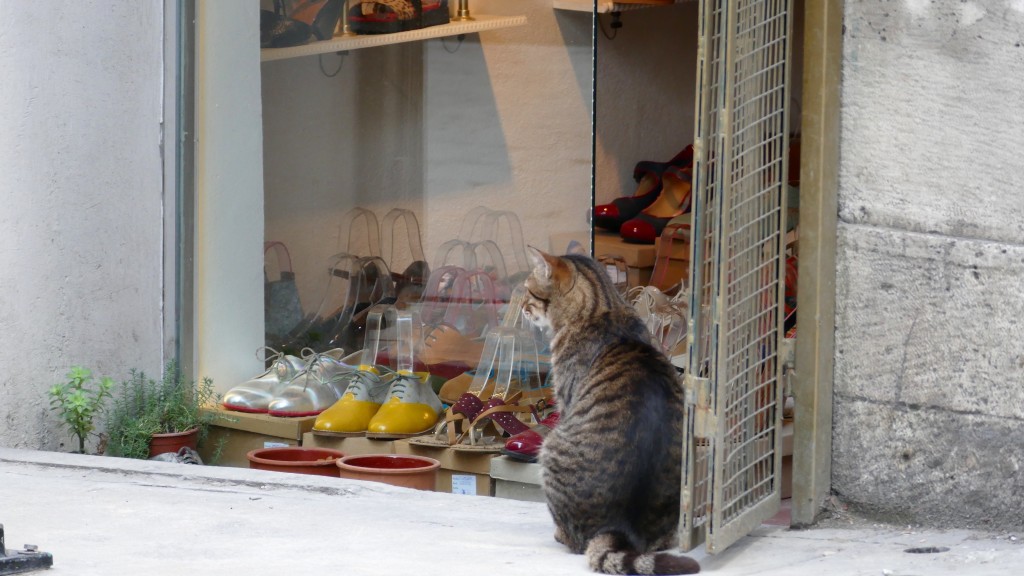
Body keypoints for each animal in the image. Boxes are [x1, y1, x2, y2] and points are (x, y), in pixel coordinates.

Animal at [524, 248, 700, 573]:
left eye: (528, 290)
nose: (521, 308)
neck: (602, 307)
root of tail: (621, 529)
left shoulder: (566, 401)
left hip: (550, 446)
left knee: (575, 540)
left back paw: (561, 534)